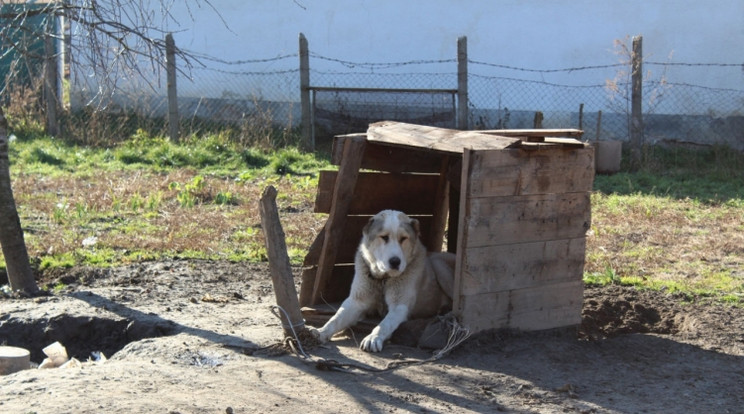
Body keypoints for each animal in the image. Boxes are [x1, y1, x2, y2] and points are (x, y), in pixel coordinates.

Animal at [306, 210, 454, 352]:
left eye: (403, 238)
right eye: (384, 237)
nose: (395, 261)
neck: (384, 280)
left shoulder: (399, 306)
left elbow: (384, 324)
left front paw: (373, 338)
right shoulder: (356, 301)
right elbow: (336, 318)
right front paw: (320, 332)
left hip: (439, 265)